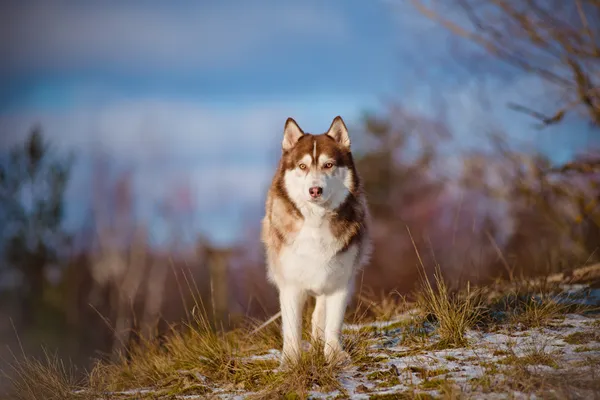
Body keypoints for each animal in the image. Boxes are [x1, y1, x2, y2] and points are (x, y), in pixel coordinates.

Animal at [262, 115, 370, 366]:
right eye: (302, 166)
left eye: (328, 165)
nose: (315, 190)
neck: (316, 221)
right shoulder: (290, 285)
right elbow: (292, 328)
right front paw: (290, 362)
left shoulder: (340, 282)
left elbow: (333, 324)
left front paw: (334, 355)